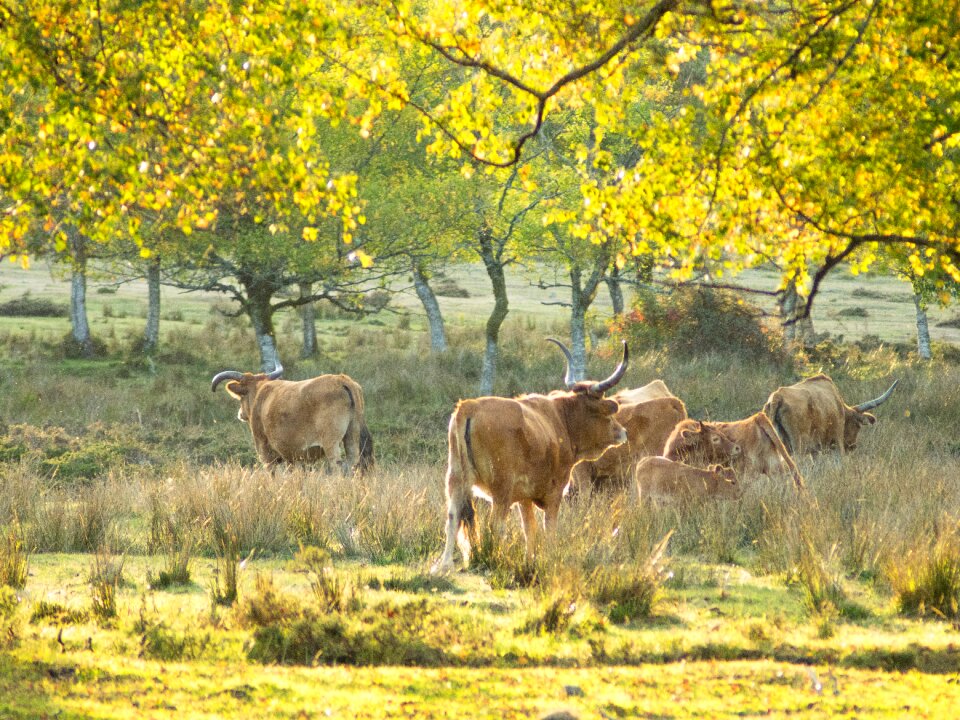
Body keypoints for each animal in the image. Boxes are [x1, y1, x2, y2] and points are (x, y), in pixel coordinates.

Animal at [212, 362, 374, 476]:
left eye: (242, 396)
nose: (240, 413)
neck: (260, 393)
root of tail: (342, 381)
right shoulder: (293, 457)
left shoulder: (266, 453)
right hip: (352, 437)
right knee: (352, 463)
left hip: (331, 443)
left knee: (338, 466)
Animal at [434, 338, 632, 572]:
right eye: (608, 413)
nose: (623, 432)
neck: (561, 421)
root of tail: (470, 406)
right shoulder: (554, 494)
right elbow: (549, 529)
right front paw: (549, 559)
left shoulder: (524, 498)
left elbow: (530, 529)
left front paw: (531, 560)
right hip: (501, 490)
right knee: (495, 525)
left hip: (456, 480)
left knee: (453, 518)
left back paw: (444, 564)